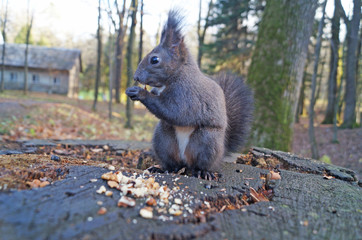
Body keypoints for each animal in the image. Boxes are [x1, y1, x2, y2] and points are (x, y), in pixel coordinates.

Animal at [126, 10, 253, 179]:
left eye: (154, 59)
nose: (136, 77)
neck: (177, 74)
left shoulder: (186, 94)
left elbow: (175, 112)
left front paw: (140, 93)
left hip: (206, 141)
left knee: (200, 163)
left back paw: (203, 172)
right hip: (163, 139)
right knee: (173, 163)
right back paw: (163, 168)